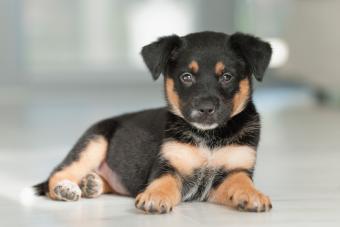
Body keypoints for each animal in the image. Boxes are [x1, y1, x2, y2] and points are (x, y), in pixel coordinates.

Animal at [33, 31, 274, 214]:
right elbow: (164, 182)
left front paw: (253, 195)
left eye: (227, 77)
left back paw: (91, 183)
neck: (208, 137)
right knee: (58, 173)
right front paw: (155, 196)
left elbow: (242, 182)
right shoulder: (167, 165)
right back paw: (66, 188)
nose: (205, 109)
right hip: (94, 142)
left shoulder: (235, 171)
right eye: (186, 77)